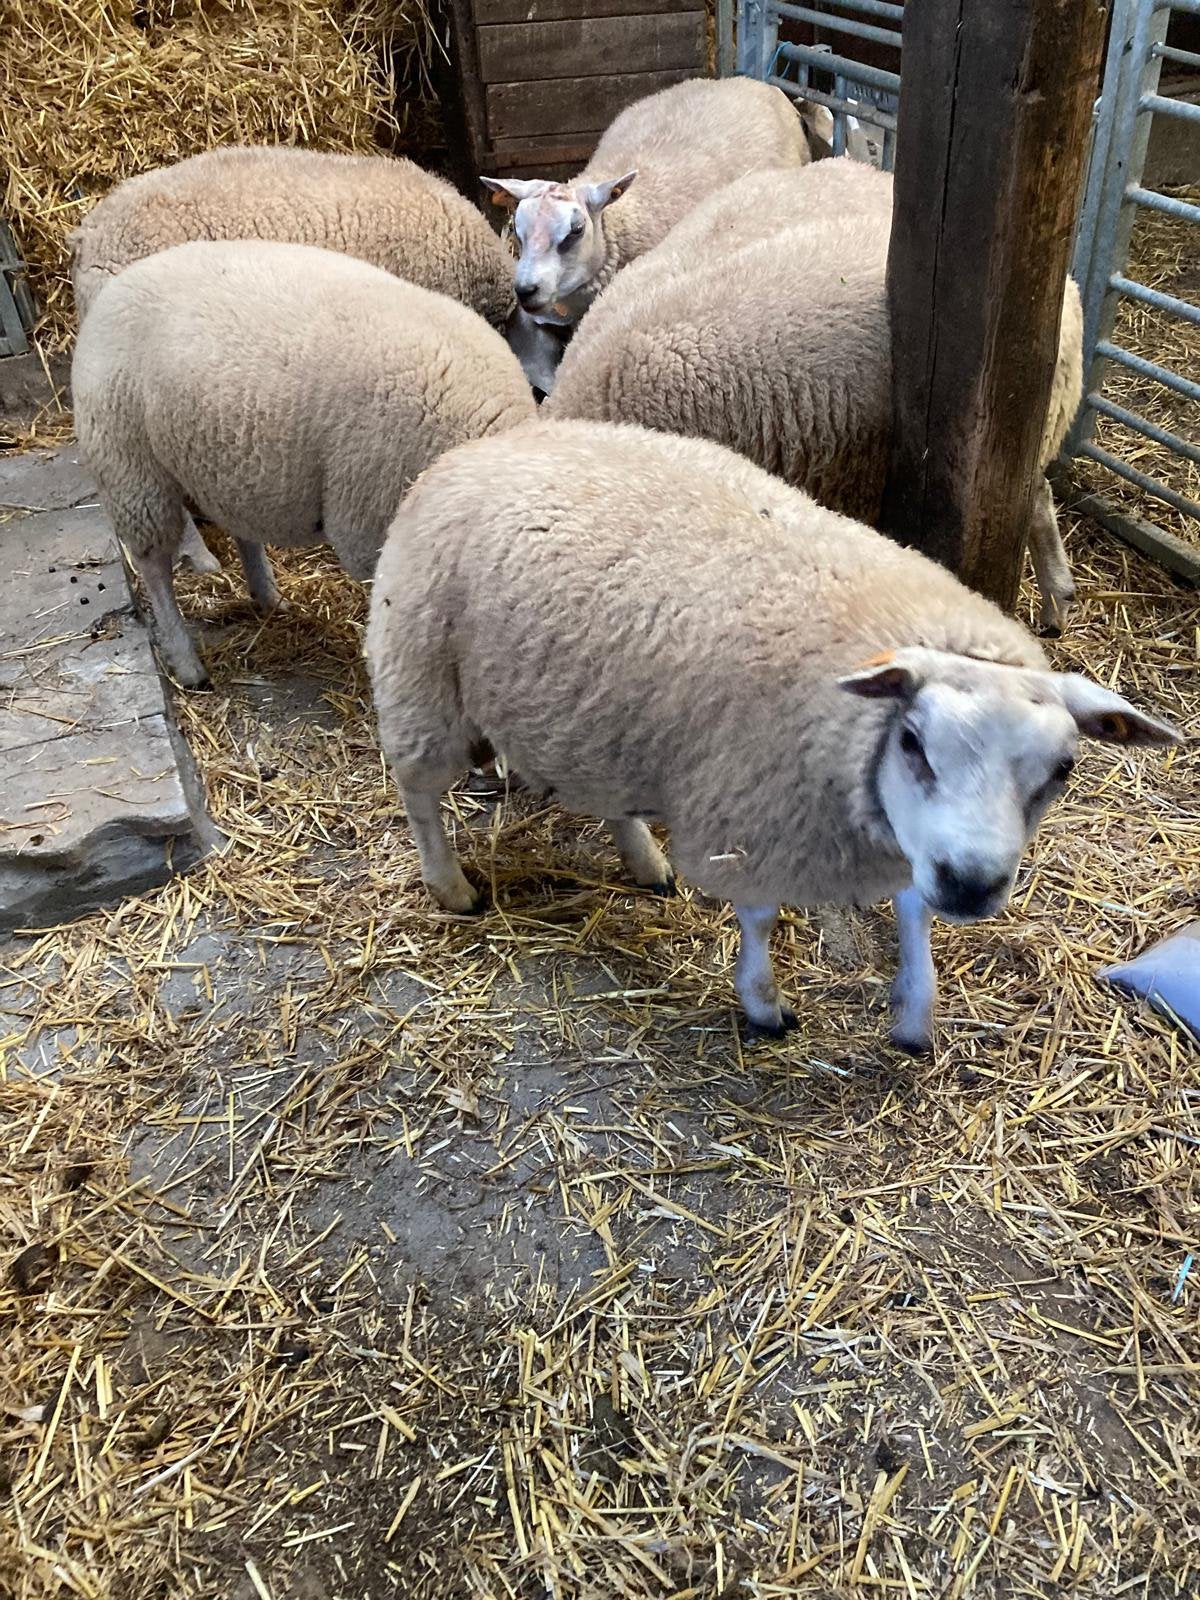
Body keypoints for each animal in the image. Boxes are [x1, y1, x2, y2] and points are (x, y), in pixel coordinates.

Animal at [74, 239, 536, 689]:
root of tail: (116, 284)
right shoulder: (370, 529)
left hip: (229, 461)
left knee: (241, 528)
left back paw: (269, 597)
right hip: (129, 465)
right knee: (154, 565)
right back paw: (187, 663)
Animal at [365, 420, 1178, 1055]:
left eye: (1063, 768)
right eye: (912, 742)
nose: (973, 886)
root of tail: (486, 443)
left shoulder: (898, 837)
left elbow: (915, 915)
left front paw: (914, 1013)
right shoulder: (758, 815)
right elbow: (759, 918)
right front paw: (762, 1003)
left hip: (592, 709)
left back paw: (644, 860)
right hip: (423, 677)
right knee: (417, 789)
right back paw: (451, 885)